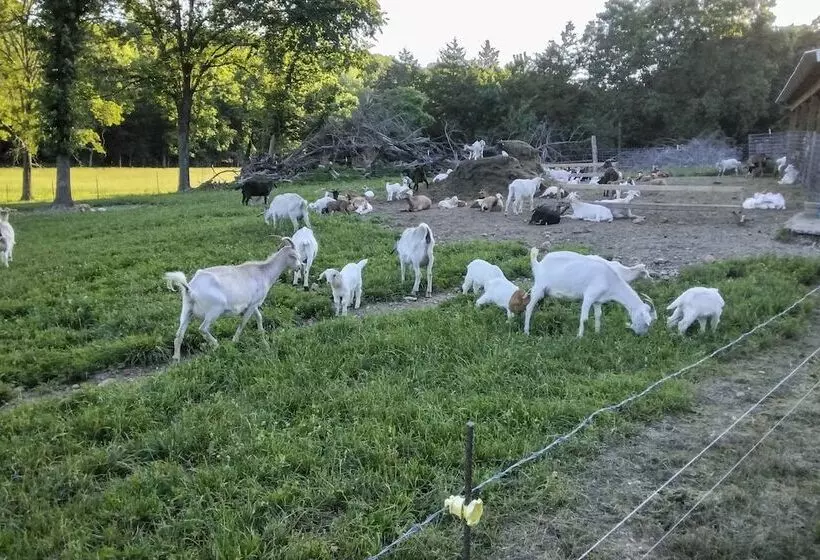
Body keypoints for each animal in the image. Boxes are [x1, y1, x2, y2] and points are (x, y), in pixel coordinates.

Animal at [163, 239, 302, 362]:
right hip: (214, 310)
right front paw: (234, 341)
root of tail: (190, 288)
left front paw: (263, 339)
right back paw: (217, 345)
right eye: (295, 256)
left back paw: (176, 358)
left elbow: (259, 317)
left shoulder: (252, 304)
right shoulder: (253, 304)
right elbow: (243, 322)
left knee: (179, 334)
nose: (300, 267)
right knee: (202, 328)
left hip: (187, 310)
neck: (263, 272)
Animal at [524, 249, 656, 337]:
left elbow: (598, 315)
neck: (609, 279)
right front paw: (579, 337)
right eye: (646, 324)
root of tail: (538, 264)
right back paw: (526, 332)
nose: (641, 335)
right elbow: (584, 318)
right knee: (529, 308)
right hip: (539, 288)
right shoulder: (589, 296)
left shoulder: (598, 300)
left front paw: (597, 333)